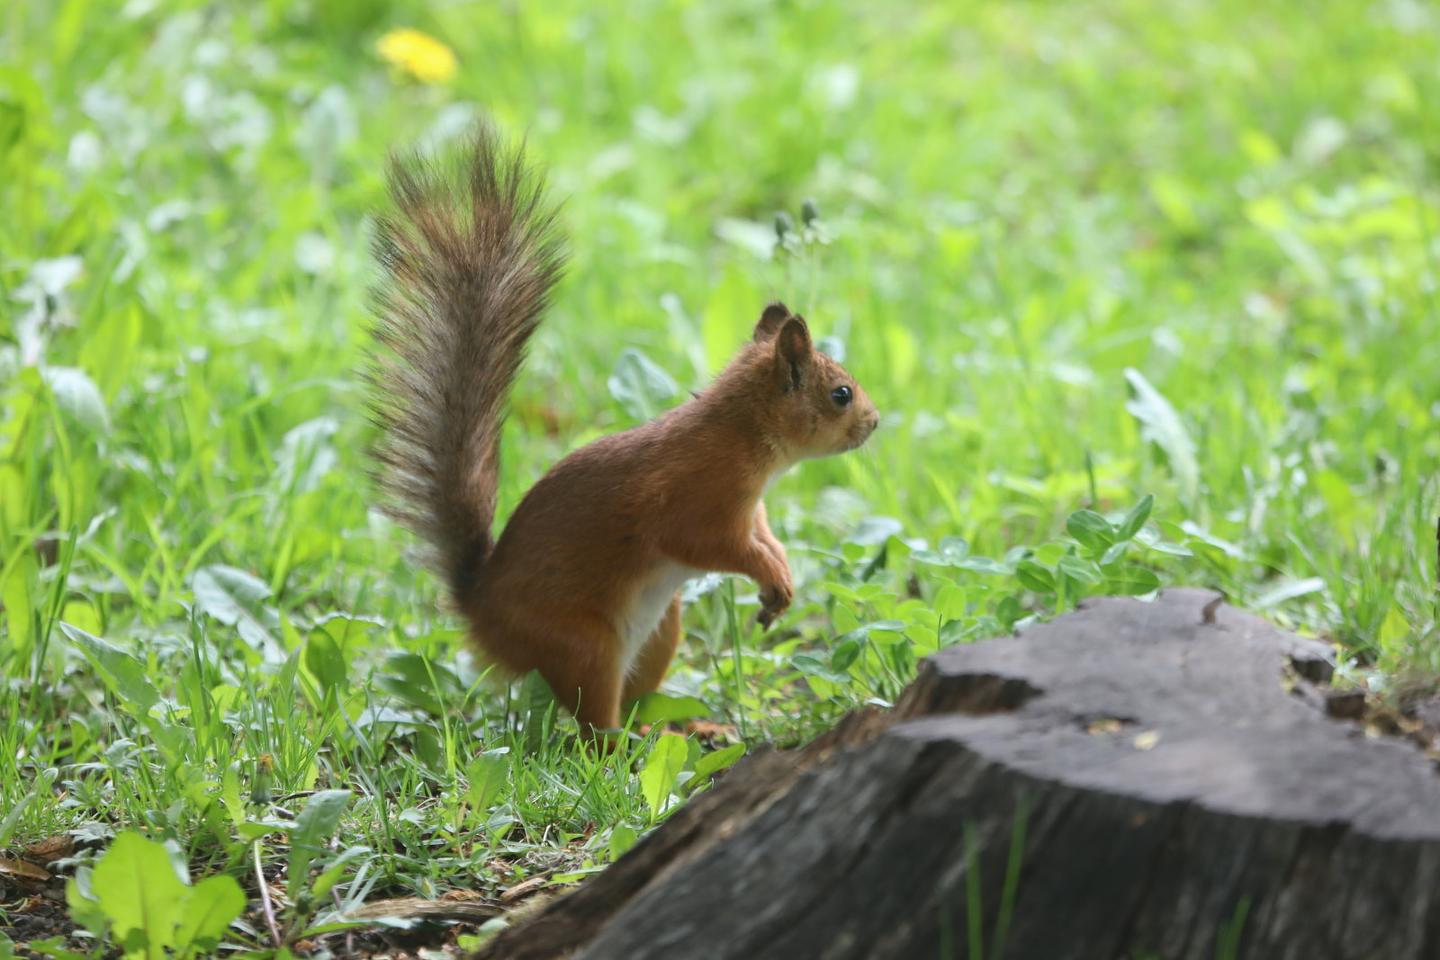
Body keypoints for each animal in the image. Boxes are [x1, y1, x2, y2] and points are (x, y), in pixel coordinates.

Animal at [368, 125, 875, 728]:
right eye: (841, 395)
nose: (874, 422)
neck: (745, 435)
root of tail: (482, 613)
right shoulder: (698, 498)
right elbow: (709, 544)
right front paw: (767, 572)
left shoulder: (752, 508)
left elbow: (764, 532)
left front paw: (782, 574)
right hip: (583, 645)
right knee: (592, 726)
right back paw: (623, 746)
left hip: (660, 630)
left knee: (640, 701)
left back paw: (683, 727)